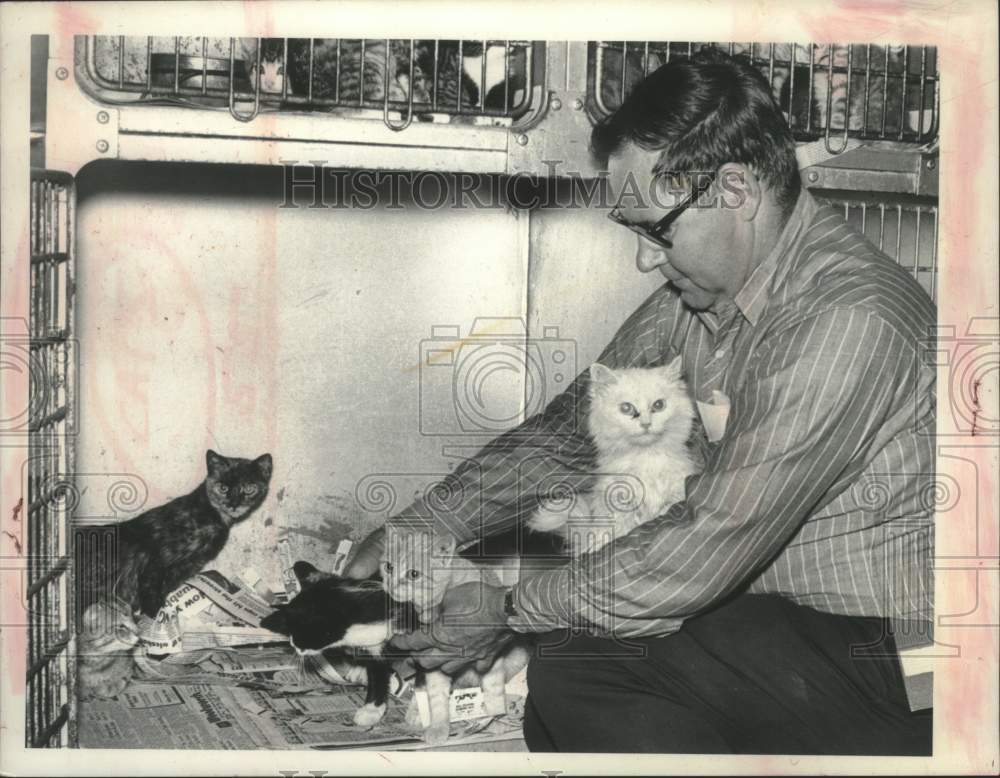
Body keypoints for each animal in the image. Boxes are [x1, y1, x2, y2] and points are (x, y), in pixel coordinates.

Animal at [528, 360, 700, 556]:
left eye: (658, 405)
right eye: (626, 408)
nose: (646, 424)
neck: (645, 456)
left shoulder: (679, 484)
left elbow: (669, 504)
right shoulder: (616, 495)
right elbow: (624, 519)